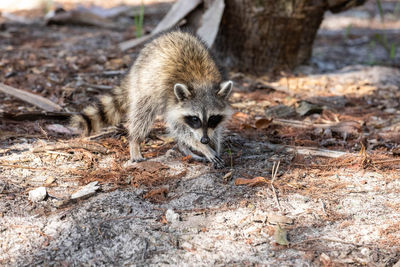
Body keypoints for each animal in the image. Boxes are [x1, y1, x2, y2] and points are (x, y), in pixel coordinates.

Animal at [71, 30, 233, 170]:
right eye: (195, 119)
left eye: (212, 118)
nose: (205, 140)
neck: (201, 82)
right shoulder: (172, 101)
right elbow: (180, 128)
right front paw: (203, 147)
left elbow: (213, 129)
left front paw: (214, 144)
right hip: (146, 84)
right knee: (143, 113)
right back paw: (135, 142)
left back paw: (184, 148)